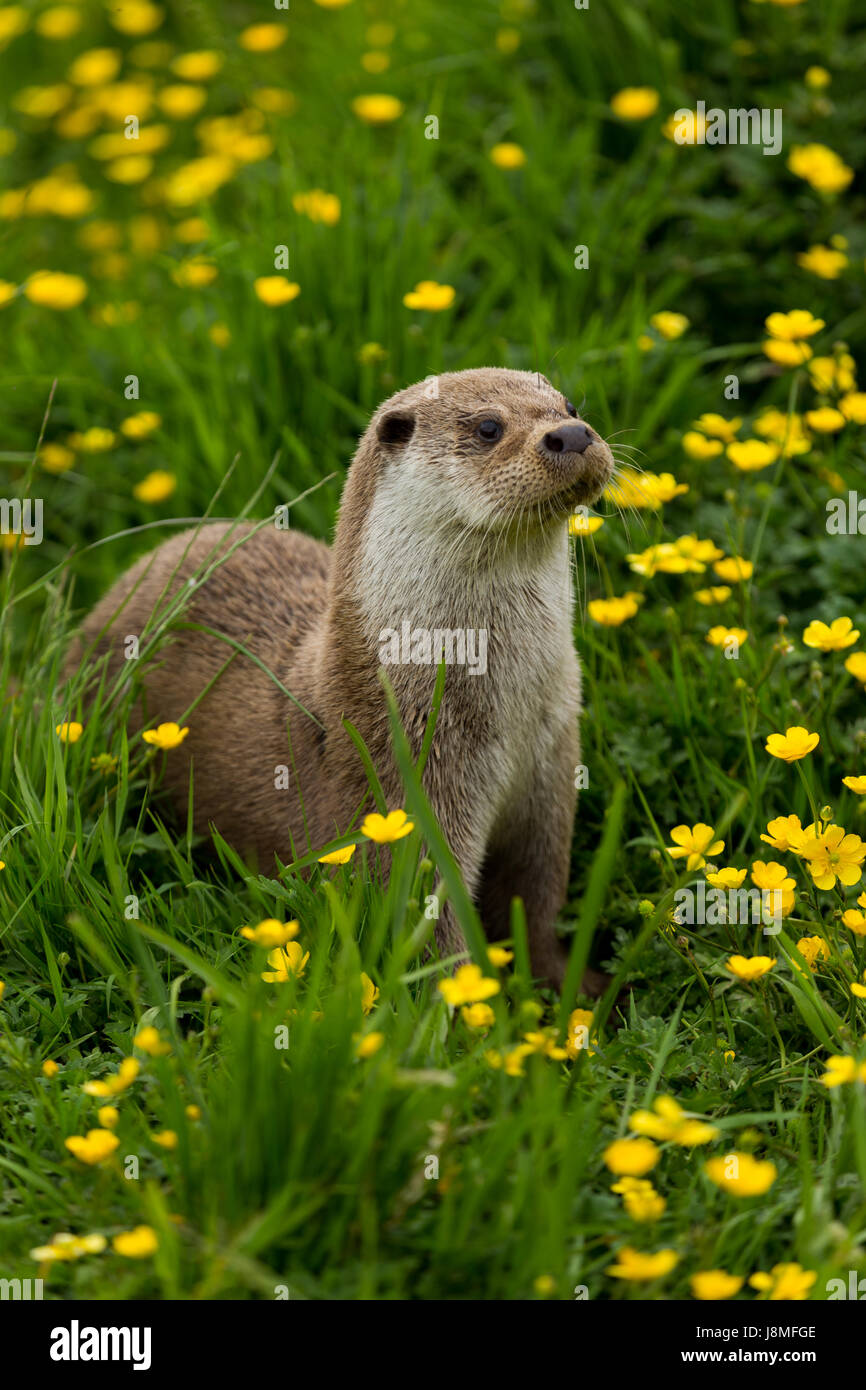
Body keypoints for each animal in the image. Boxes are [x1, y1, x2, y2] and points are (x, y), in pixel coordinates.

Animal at [64, 369, 614, 989]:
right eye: (488, 427)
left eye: (570, 406)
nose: (572, 434)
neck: (504, 715)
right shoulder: (400, 798)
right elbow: (425, 927)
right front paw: (464, 1003)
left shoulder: (551, 777)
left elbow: (538, 898)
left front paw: (576, 987)